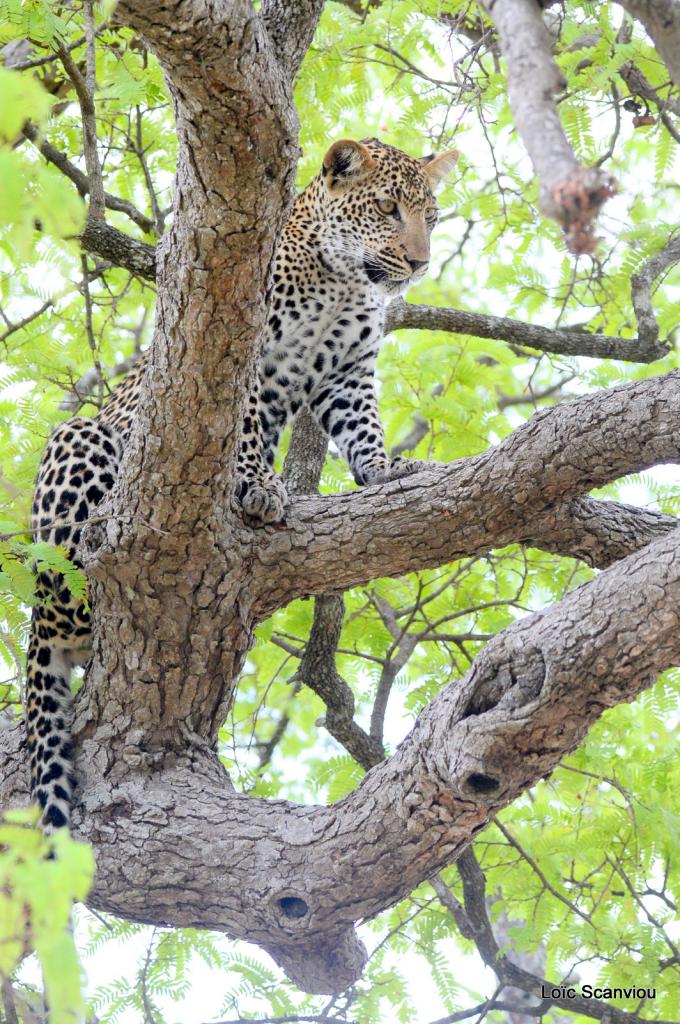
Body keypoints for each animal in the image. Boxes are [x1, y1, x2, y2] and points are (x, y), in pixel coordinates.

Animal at [23, 136, 456, 827]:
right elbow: (244, 429)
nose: (419, 262)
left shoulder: (350, 373)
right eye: (388, 209)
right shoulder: (246, 358)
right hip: (79, 444)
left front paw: (387, 468)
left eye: (431, 218)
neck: (339, 283)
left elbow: (364, 427)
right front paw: (255, 486)